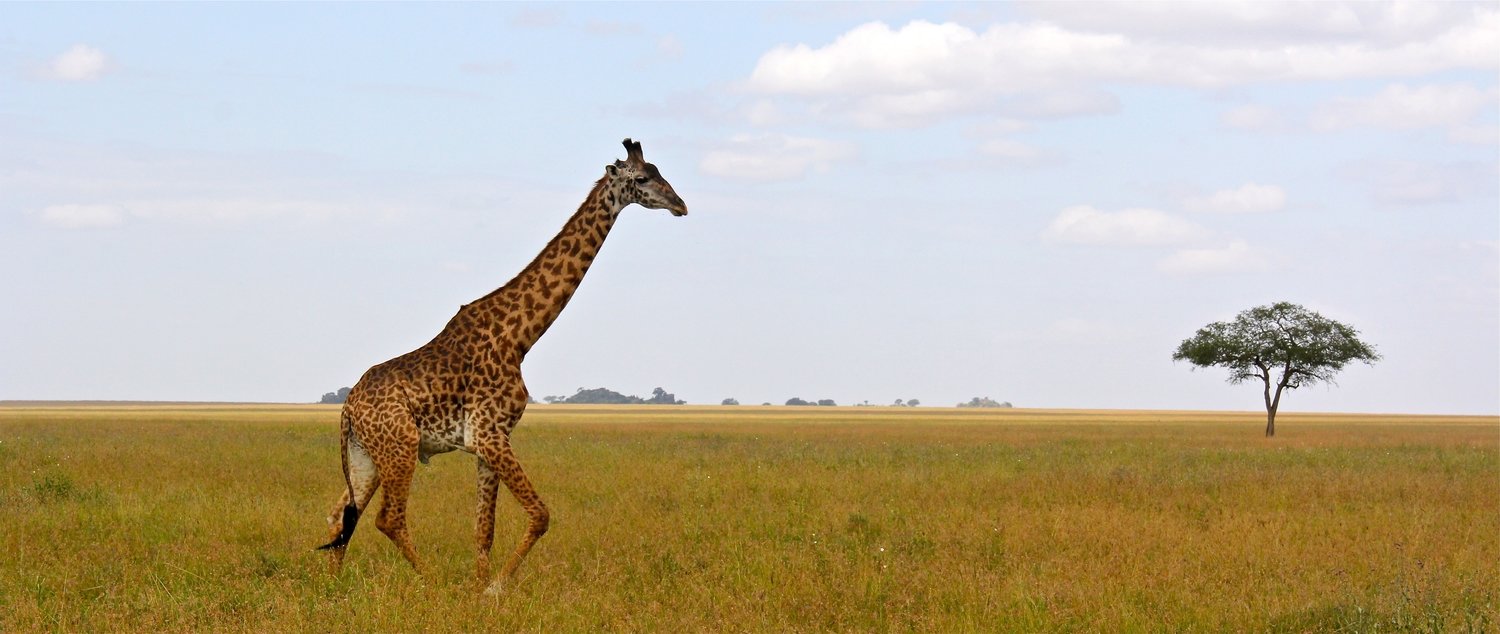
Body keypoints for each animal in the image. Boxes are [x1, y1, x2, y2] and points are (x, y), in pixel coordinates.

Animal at [316, 138, 687, 594]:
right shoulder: (491, 434)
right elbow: (541, 514)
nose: (681, 205)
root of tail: (348, 408)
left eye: (659, 171)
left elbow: (484, 529)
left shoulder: (487, 442)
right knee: (389, 518)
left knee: (341, 512)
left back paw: (332, 588)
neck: (519, 338)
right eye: (642, 179)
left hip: (365, 454)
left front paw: (480, 587)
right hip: (399, 447)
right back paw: (434, 583)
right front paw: (494, 588)